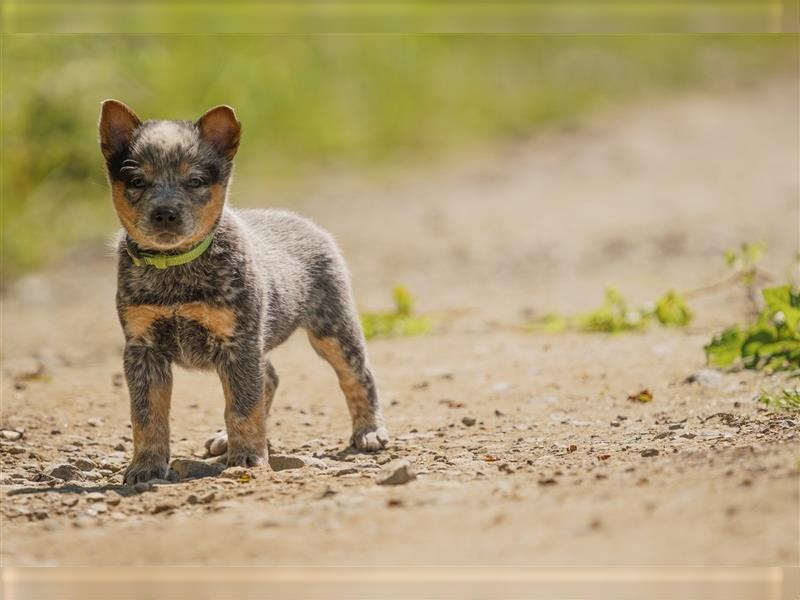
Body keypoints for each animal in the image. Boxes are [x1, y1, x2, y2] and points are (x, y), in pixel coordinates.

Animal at [100, 98, 388, 482]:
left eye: (195, 180)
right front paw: (146, 466)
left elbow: (242, 406)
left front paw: (249, 457)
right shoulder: (143, 349)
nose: (164, 213)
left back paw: (369, 430)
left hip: (332, 329)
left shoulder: (238, 343)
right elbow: (147, 415)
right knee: (270, 378)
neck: (176, 271)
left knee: (357, 376)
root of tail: (298, 219)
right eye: (135, 180)